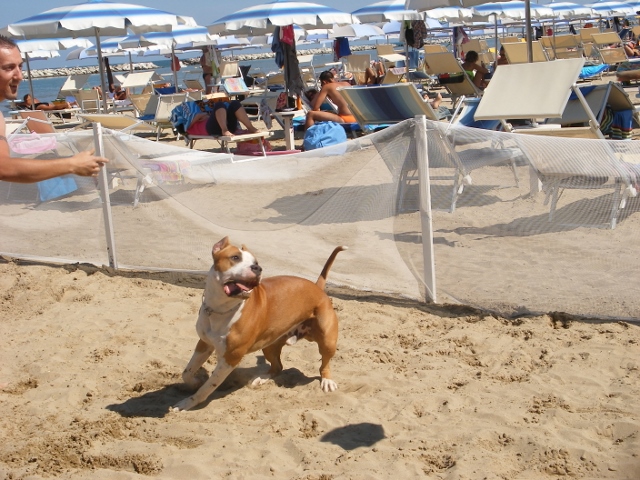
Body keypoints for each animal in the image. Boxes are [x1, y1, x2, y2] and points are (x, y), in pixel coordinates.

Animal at [170, 238, 348, 410]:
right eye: (235, 257)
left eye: (256, 261)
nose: (257, 268)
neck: (220, 308)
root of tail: (317, 287)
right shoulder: (204, 343)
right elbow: (187, 372)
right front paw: (194, 382)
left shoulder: (231, 358)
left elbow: (207, 387)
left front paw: (188, 403)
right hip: (269, 345)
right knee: (277, 367)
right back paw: (262, 378)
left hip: (327, 341)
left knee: (324, 363)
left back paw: (327, 380)